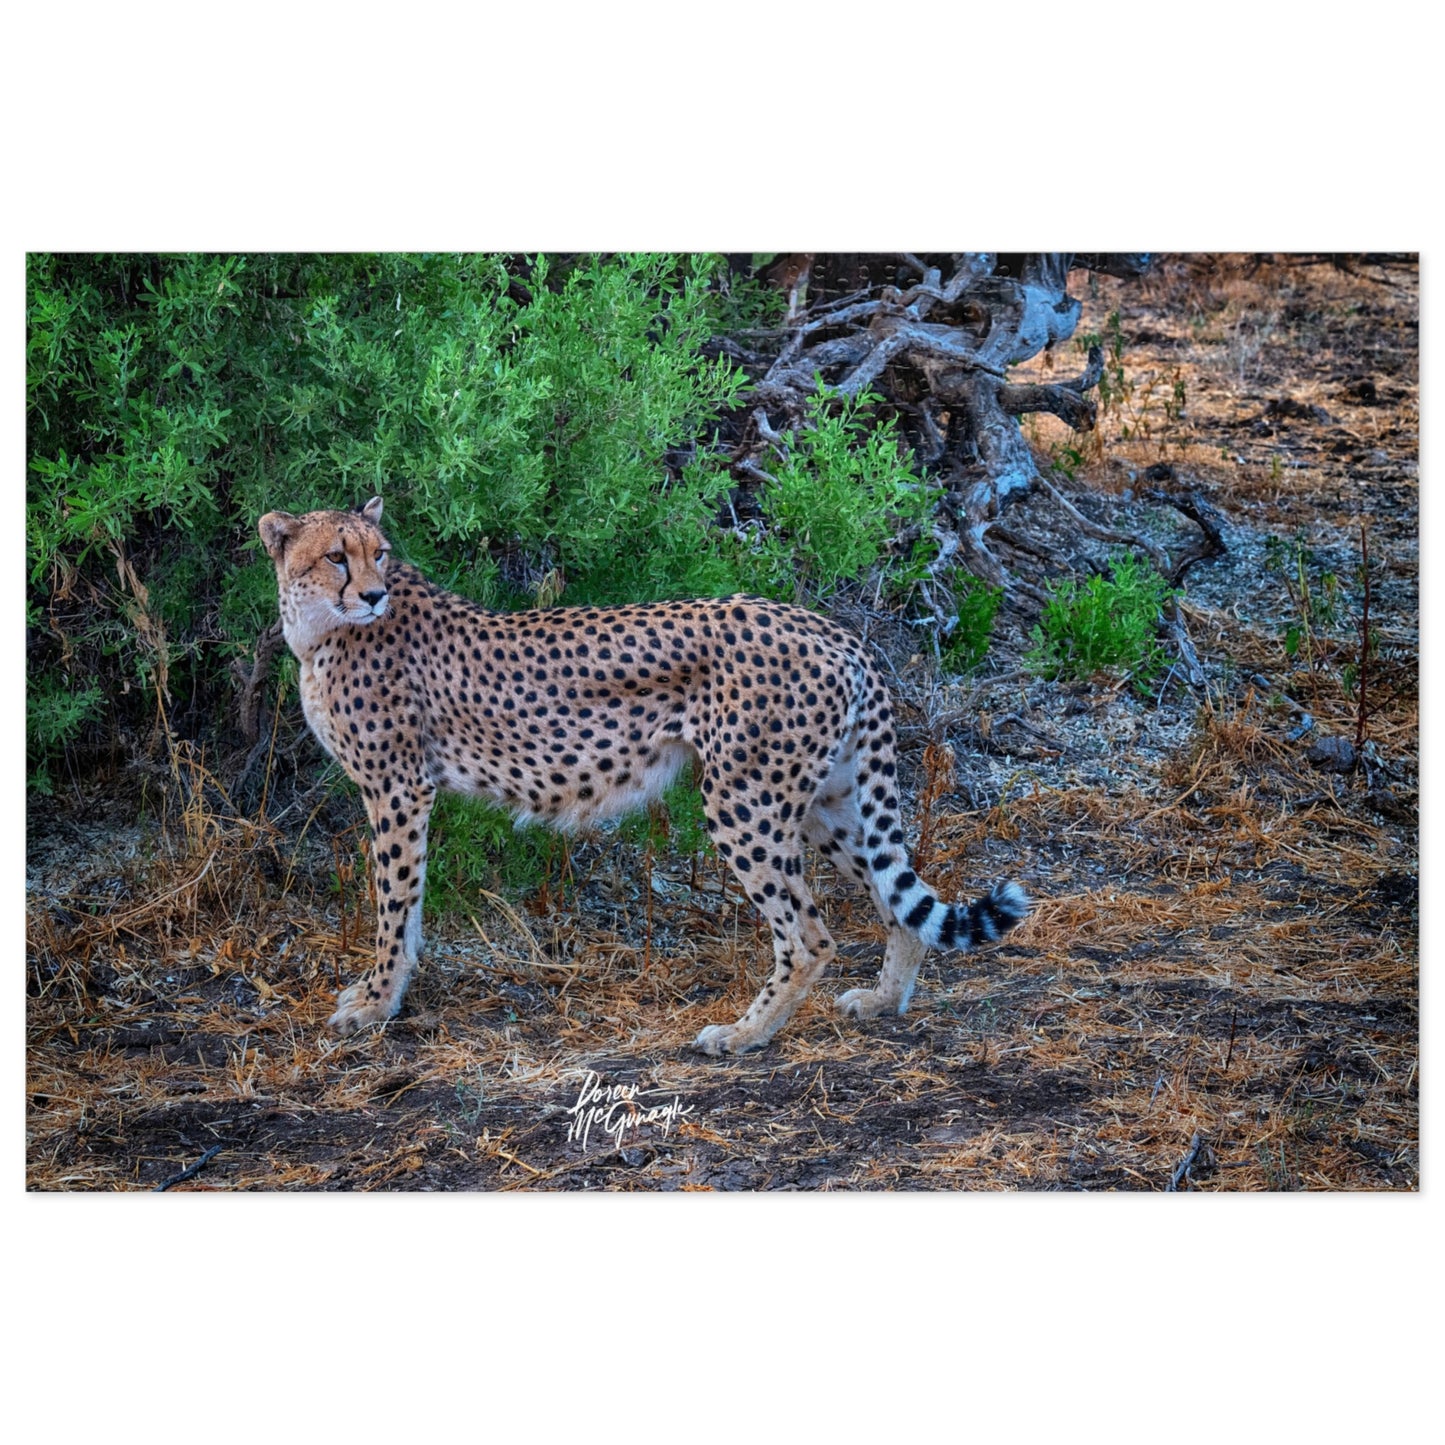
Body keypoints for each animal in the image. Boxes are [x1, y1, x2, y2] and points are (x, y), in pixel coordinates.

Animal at [258, 496, 1030, 1056]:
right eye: (337, 556)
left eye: (378, 553)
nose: (374, 594)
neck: (320, 628)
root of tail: (828, 627)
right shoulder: (404, 790)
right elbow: (409, 904)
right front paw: (384, 992)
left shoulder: (396, 786)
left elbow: (393, 901)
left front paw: (375, 1002)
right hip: (826, 799)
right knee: (898, 899)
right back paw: (882, 1000)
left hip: (743, 799)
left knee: (810, 935)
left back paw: (744, 1034)